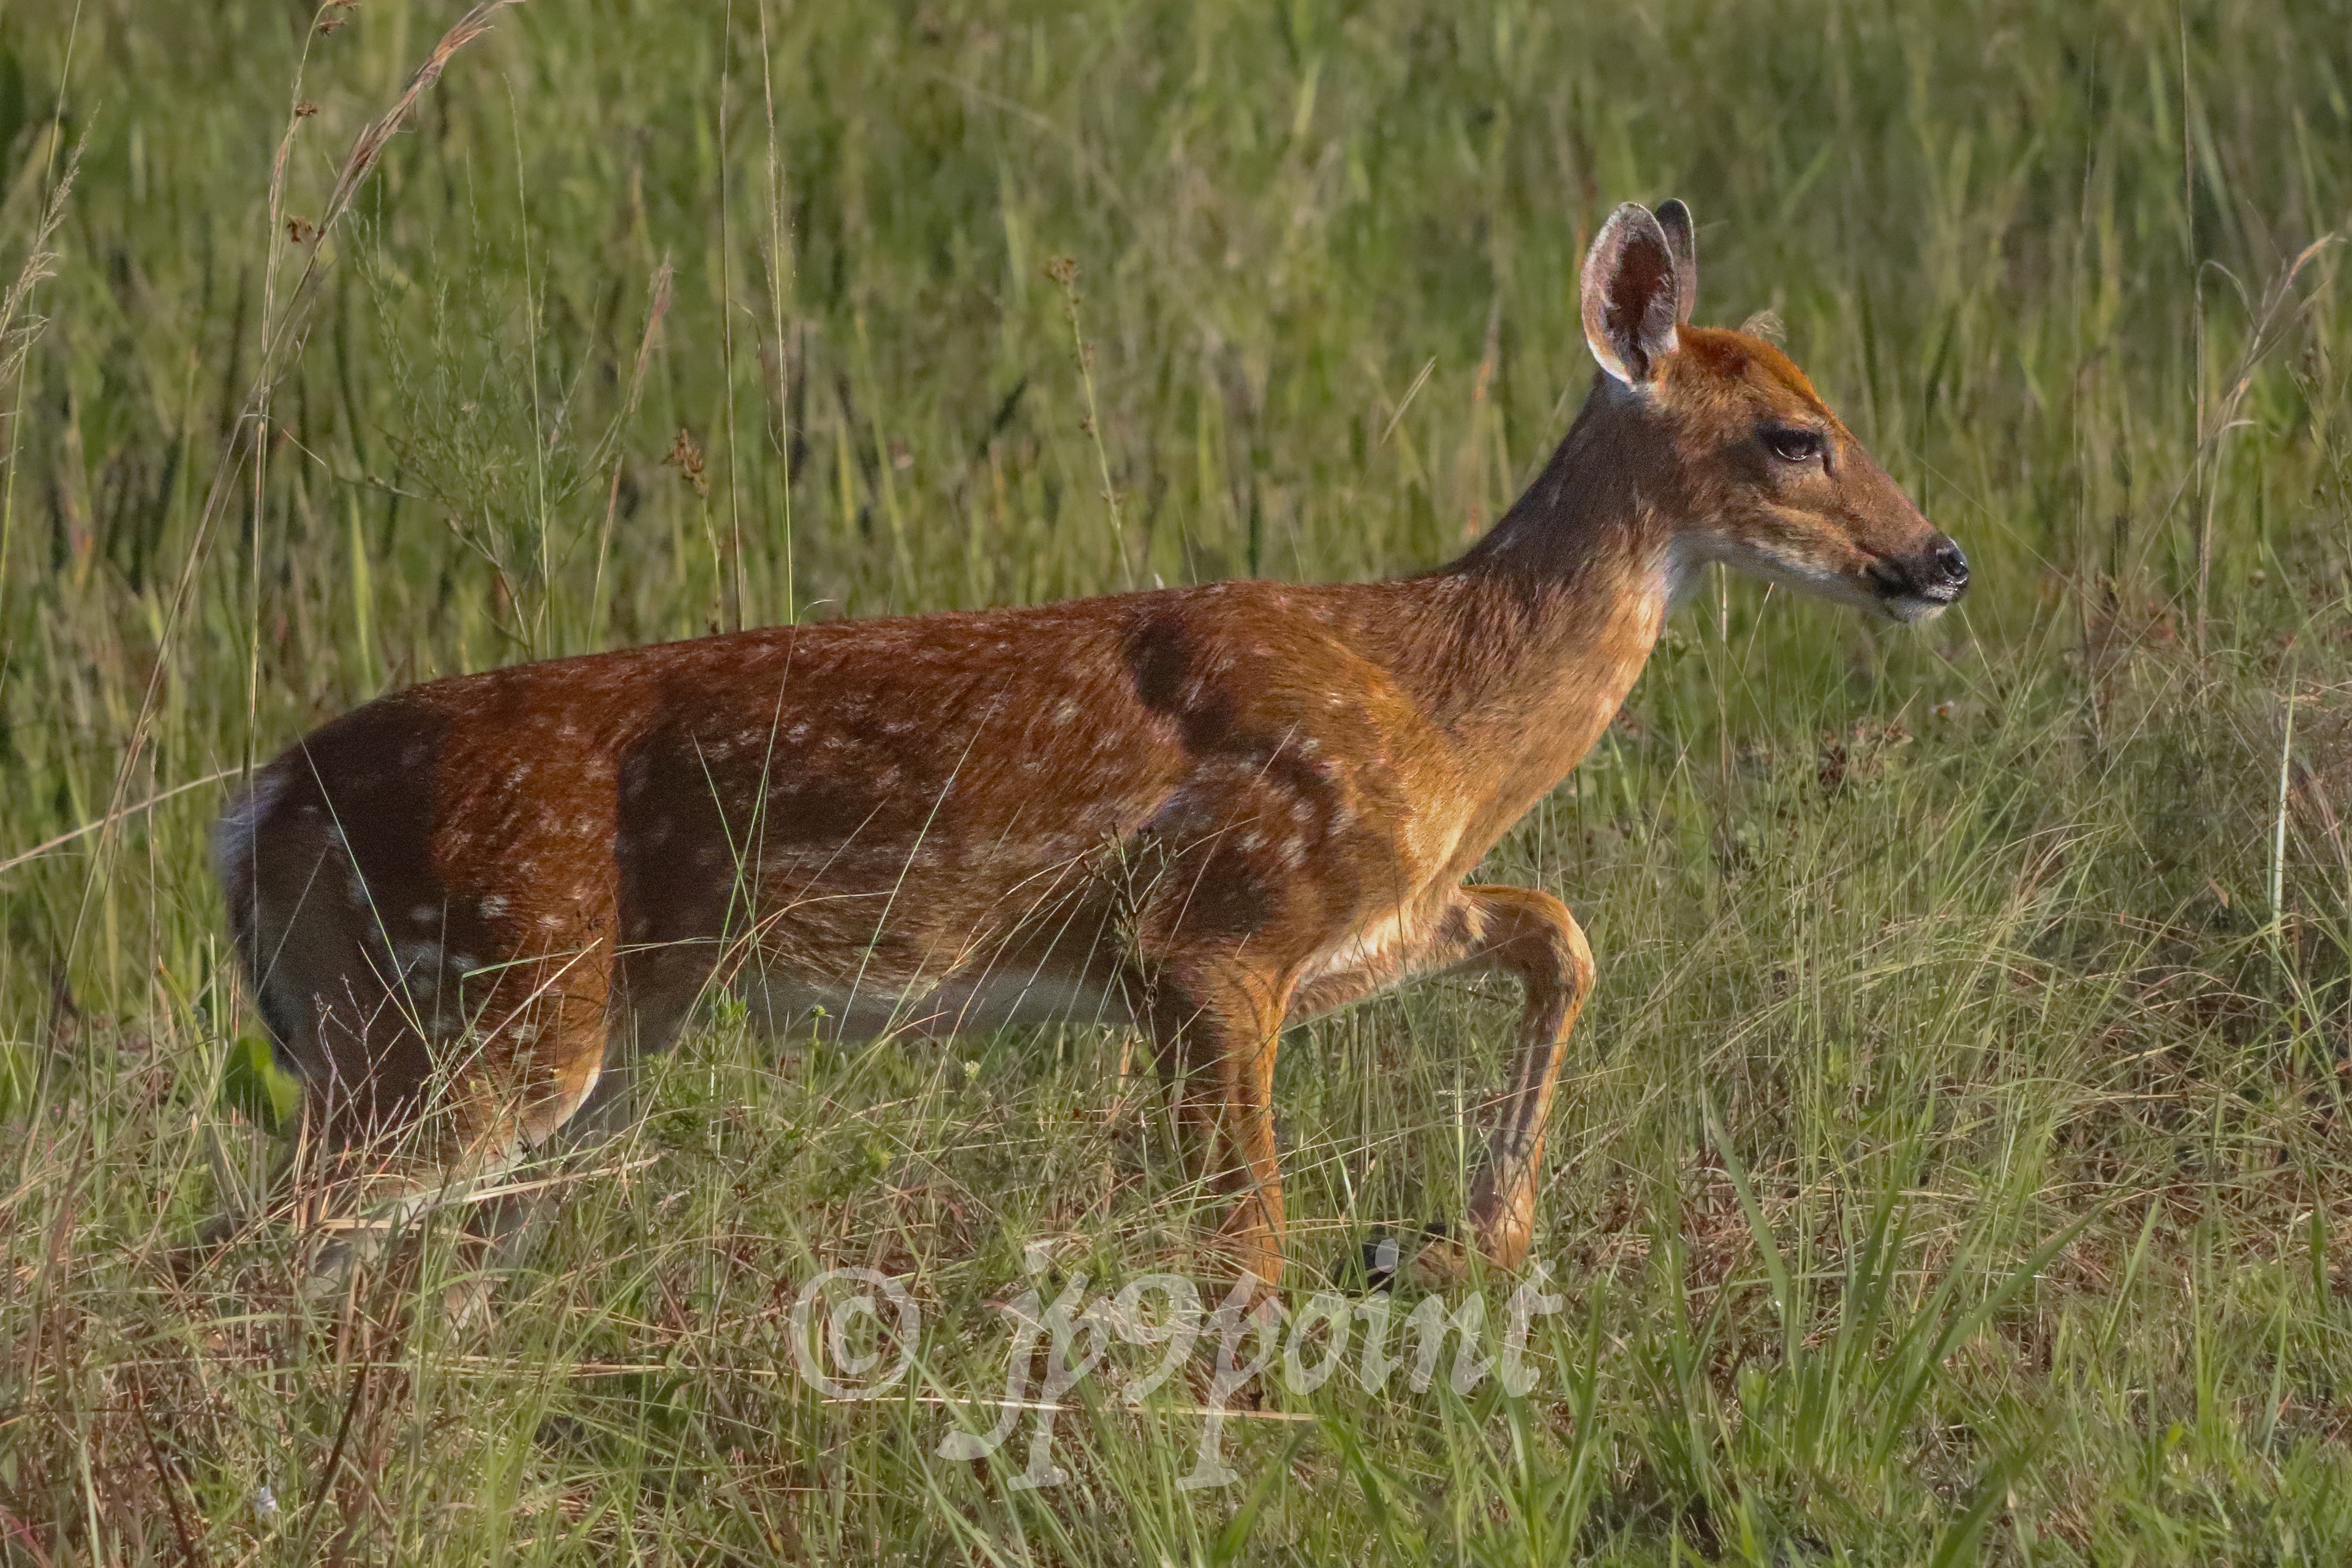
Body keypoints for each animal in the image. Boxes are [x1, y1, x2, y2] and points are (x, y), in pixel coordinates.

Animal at [213, 200, 1966, 1300]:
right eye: (1794, 435)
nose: (1938, 557)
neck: (1432, 696)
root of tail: (261, 811)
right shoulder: (1204, 937)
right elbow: (1244, 1241)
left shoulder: (1359, 922)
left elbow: (1558, 931)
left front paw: (1456, 1242)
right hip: (469, 1016)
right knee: (257, 1238)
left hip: (545, 1044)